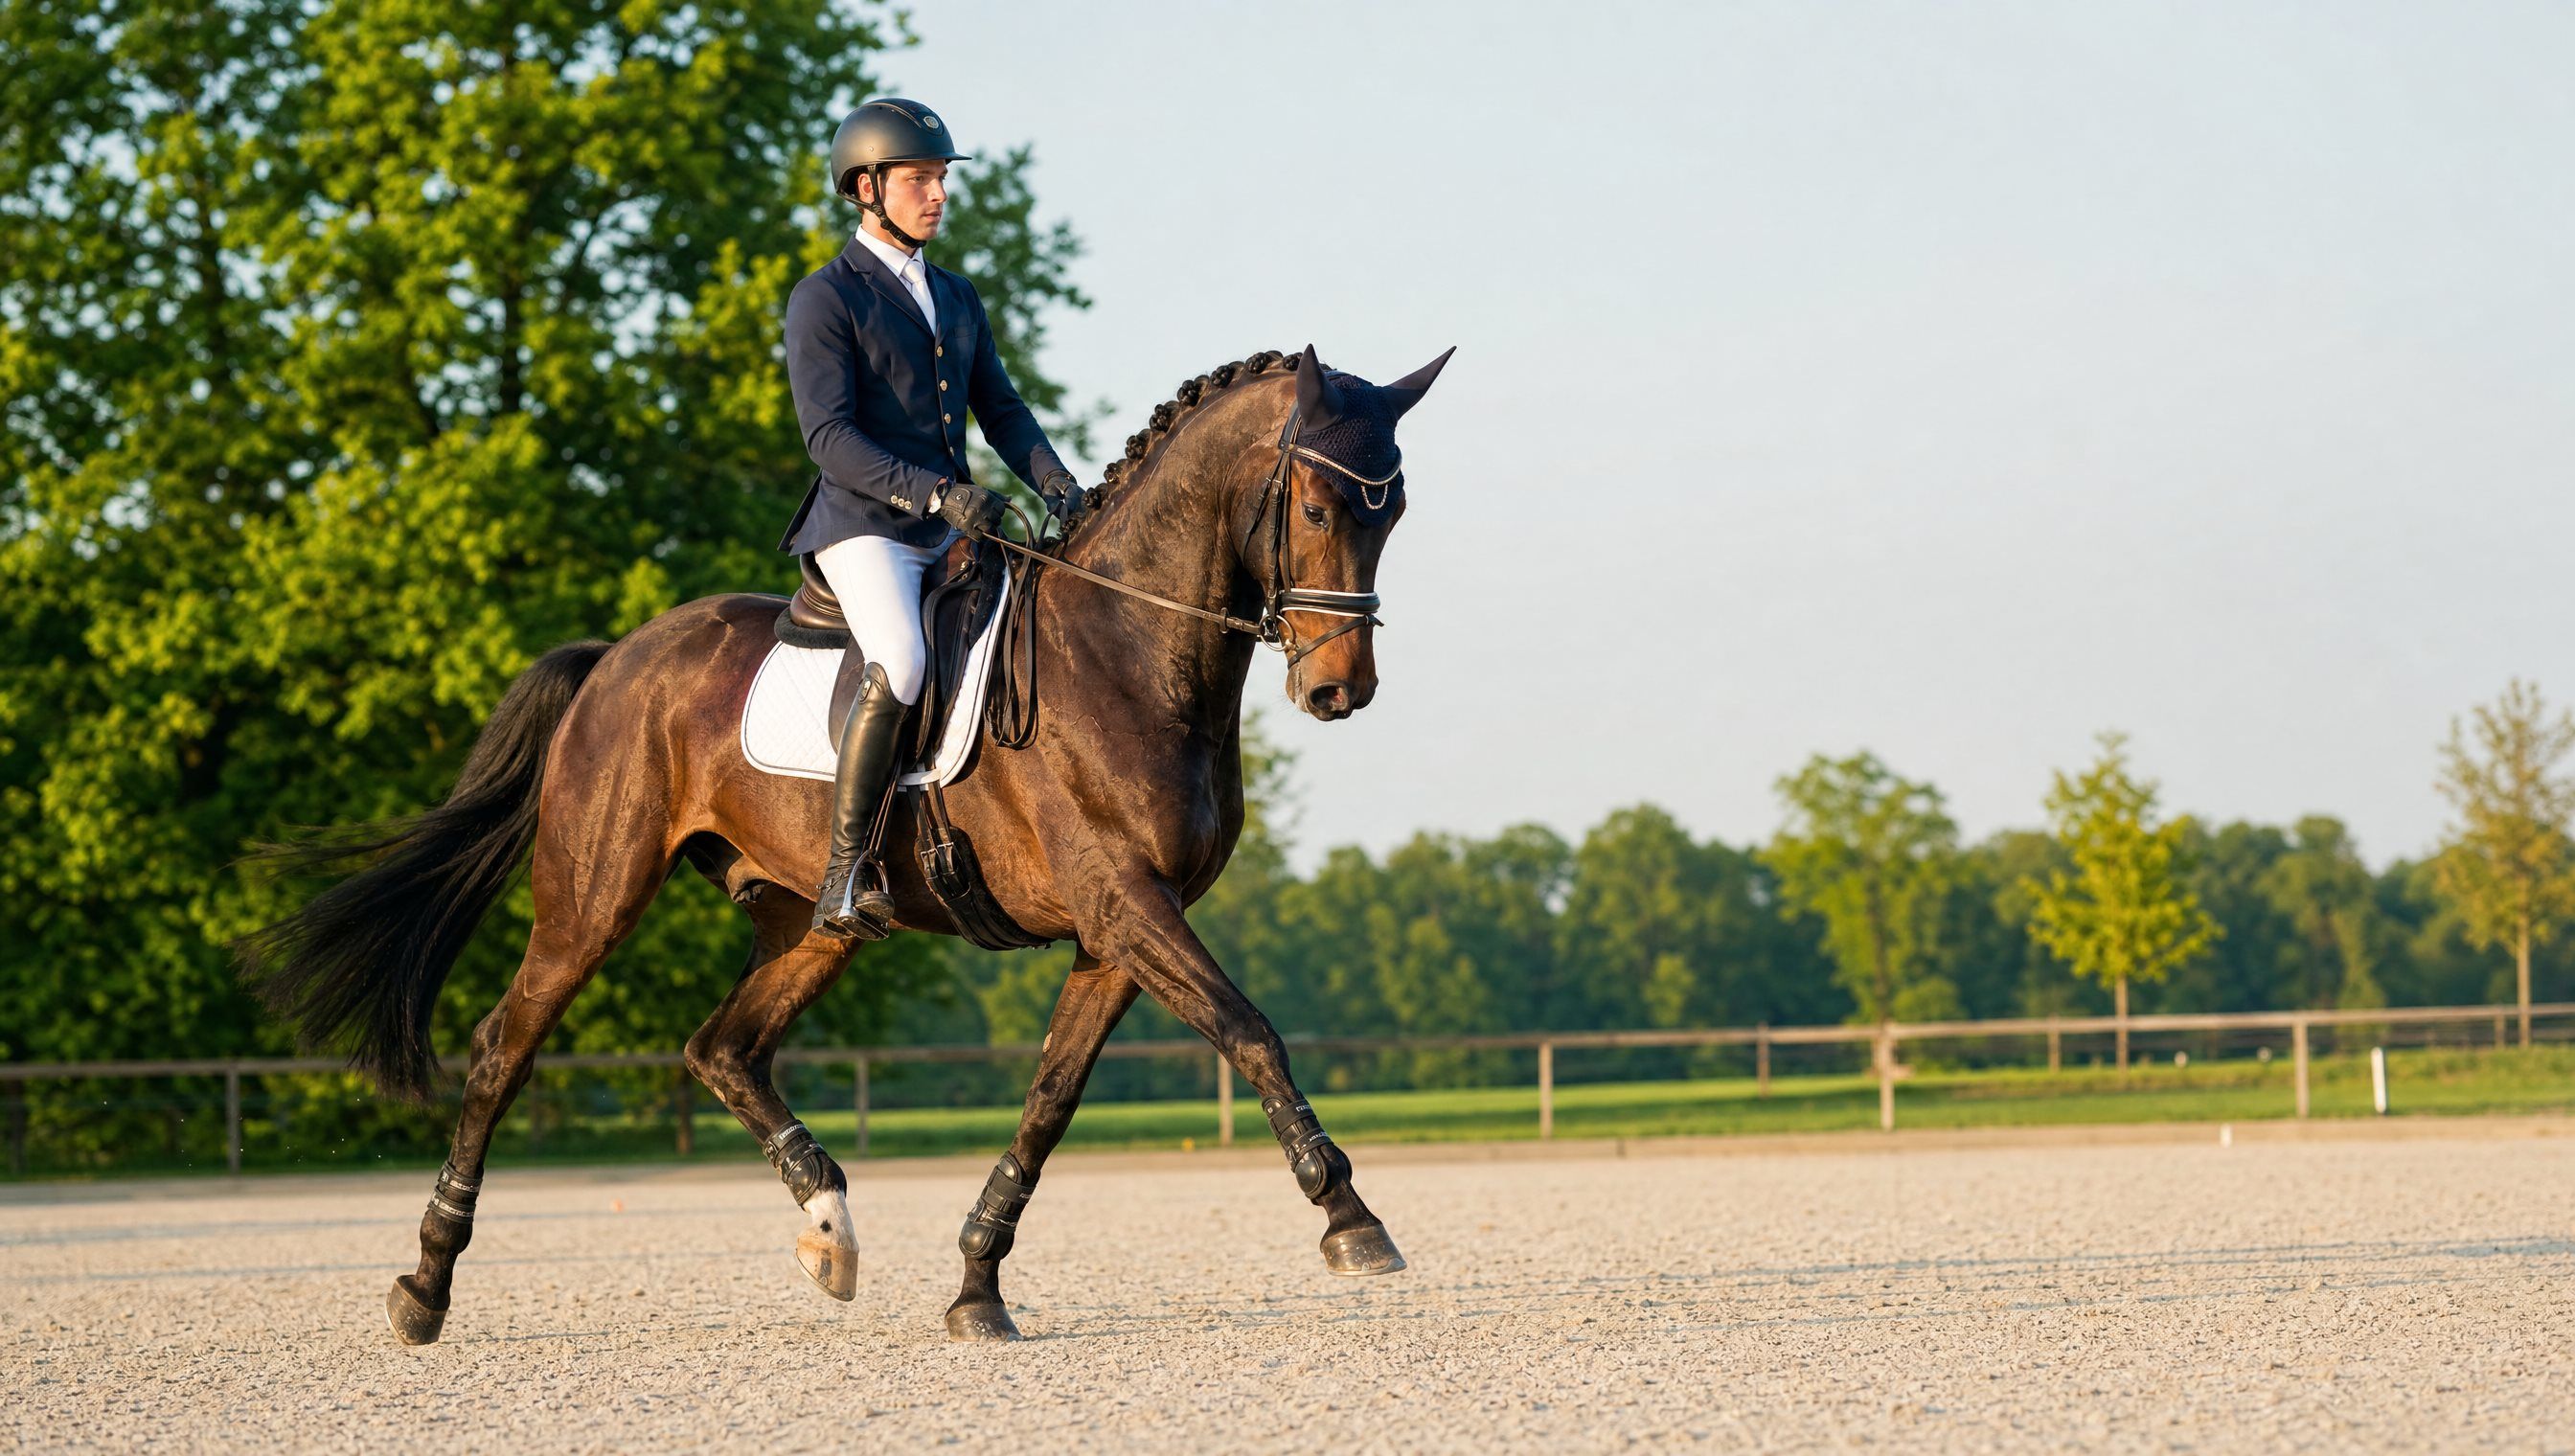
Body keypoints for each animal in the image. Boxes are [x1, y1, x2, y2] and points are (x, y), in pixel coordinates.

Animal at [242, 343, 1453, 1344]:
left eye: (1392, 512)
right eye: (1313, 503)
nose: (1339, 689)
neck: (1126, 648)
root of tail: (614, 658)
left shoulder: (1117, 932)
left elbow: (1050, 1101)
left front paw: (976, 1287)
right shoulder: (1126, 902)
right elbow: (1251, 1030)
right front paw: (1350, 1215)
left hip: (808, 920)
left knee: (723, 1047)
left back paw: (828, 1227)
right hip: (595, 894)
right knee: (505, 1044)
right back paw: (424, 1284)